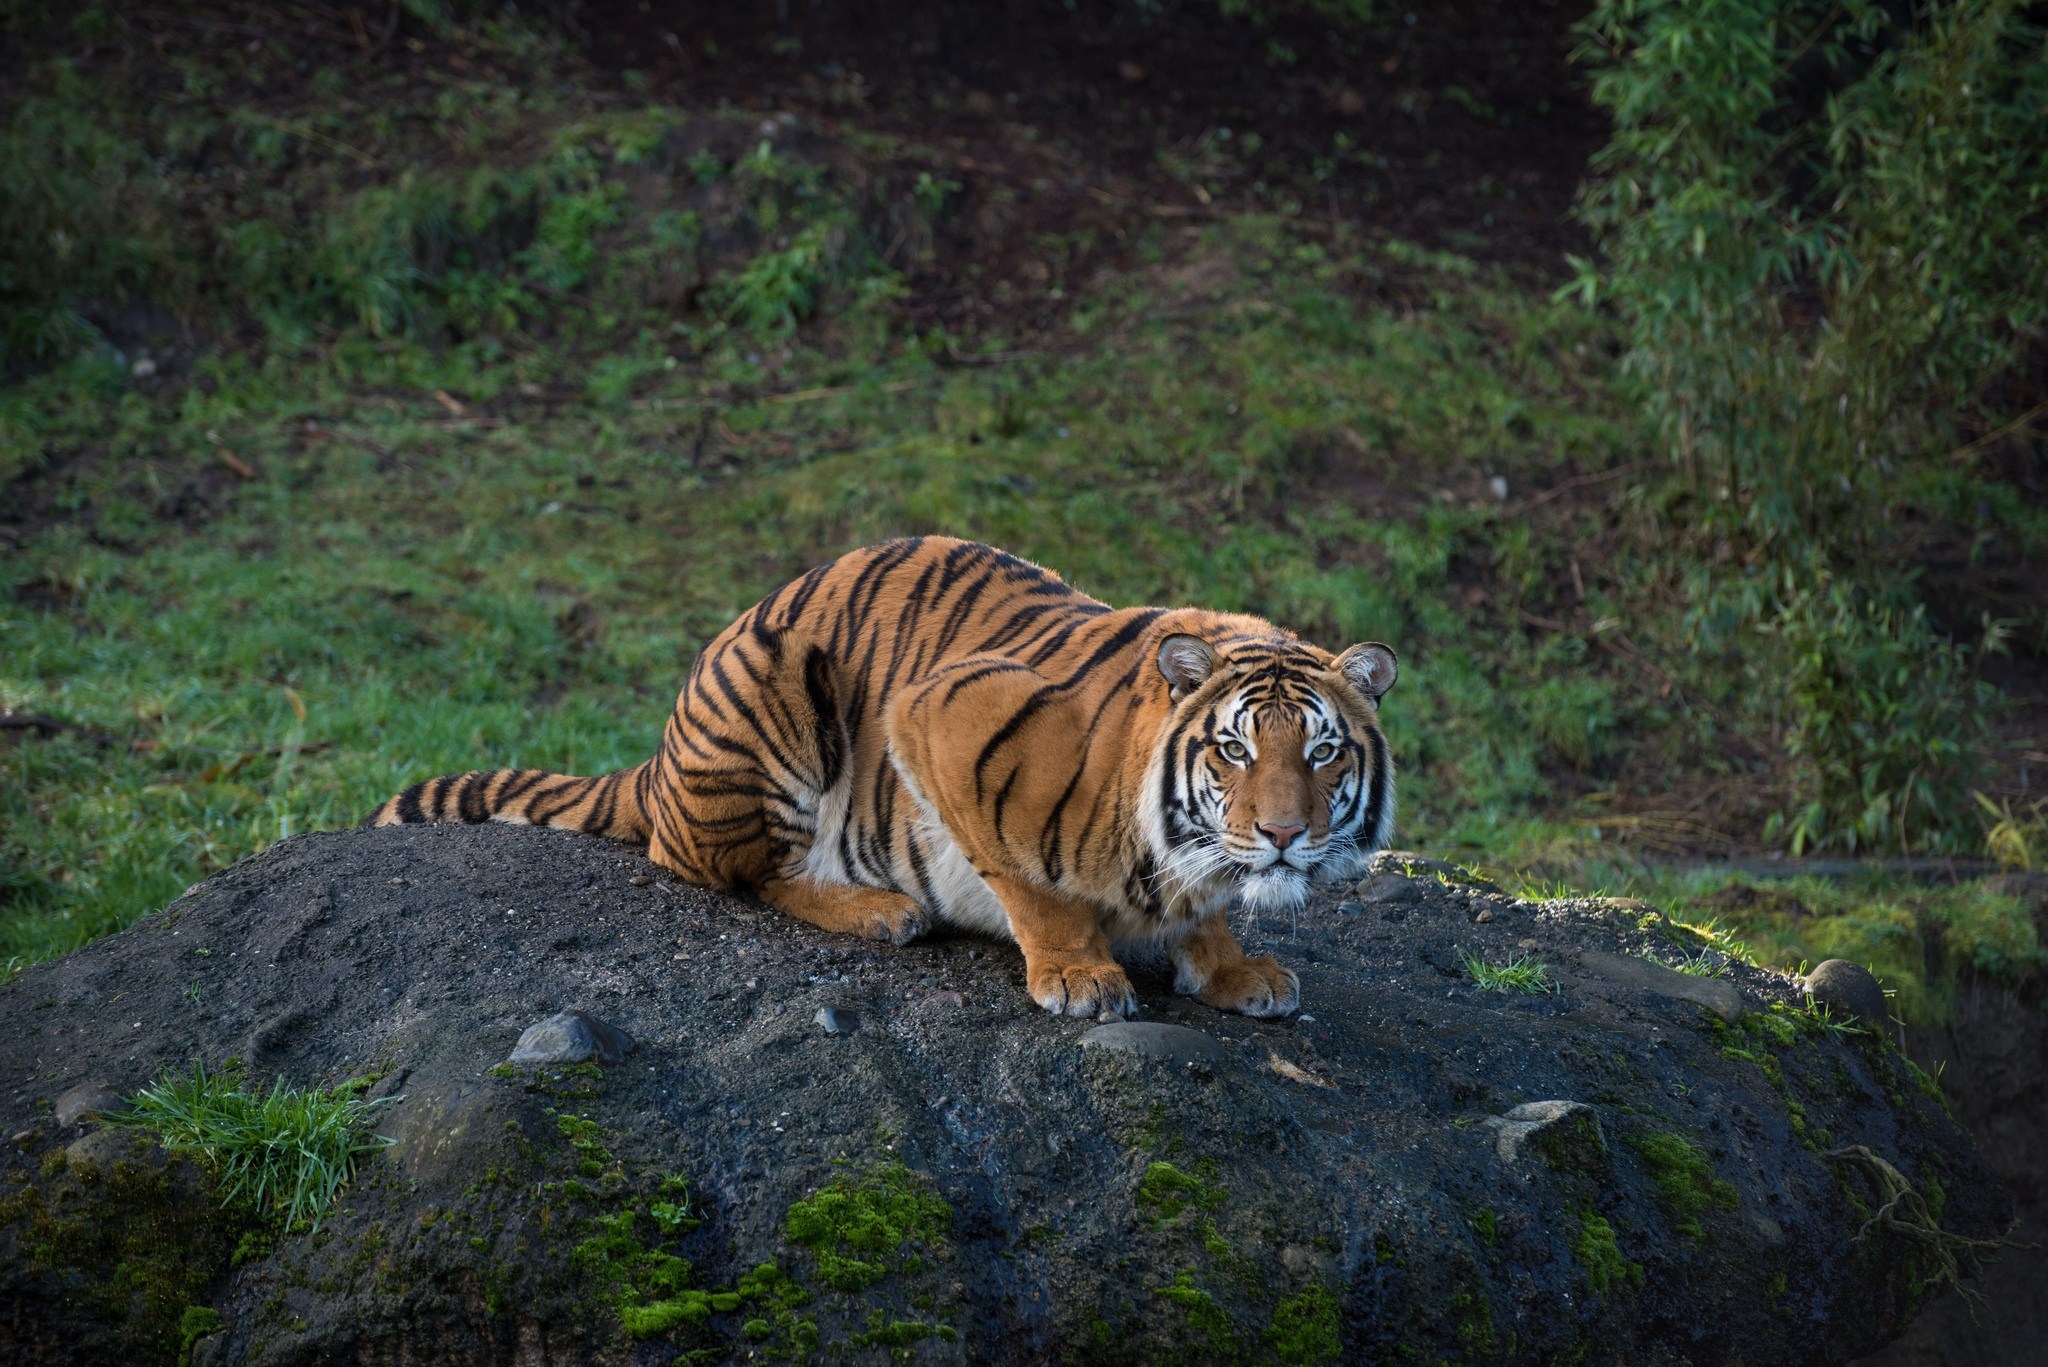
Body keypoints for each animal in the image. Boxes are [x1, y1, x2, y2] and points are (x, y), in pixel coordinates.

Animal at [368, 541, 1392, 1020]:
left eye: (1322, 752)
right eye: (1234, 751)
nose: (1283, 835)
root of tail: (658, 756)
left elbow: (1206, 917)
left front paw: (1233, 966)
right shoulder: (937, 714)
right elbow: (1028, 878)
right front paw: (1078, 971)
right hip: (777, 680)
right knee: (732, 870)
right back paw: (879, 910)